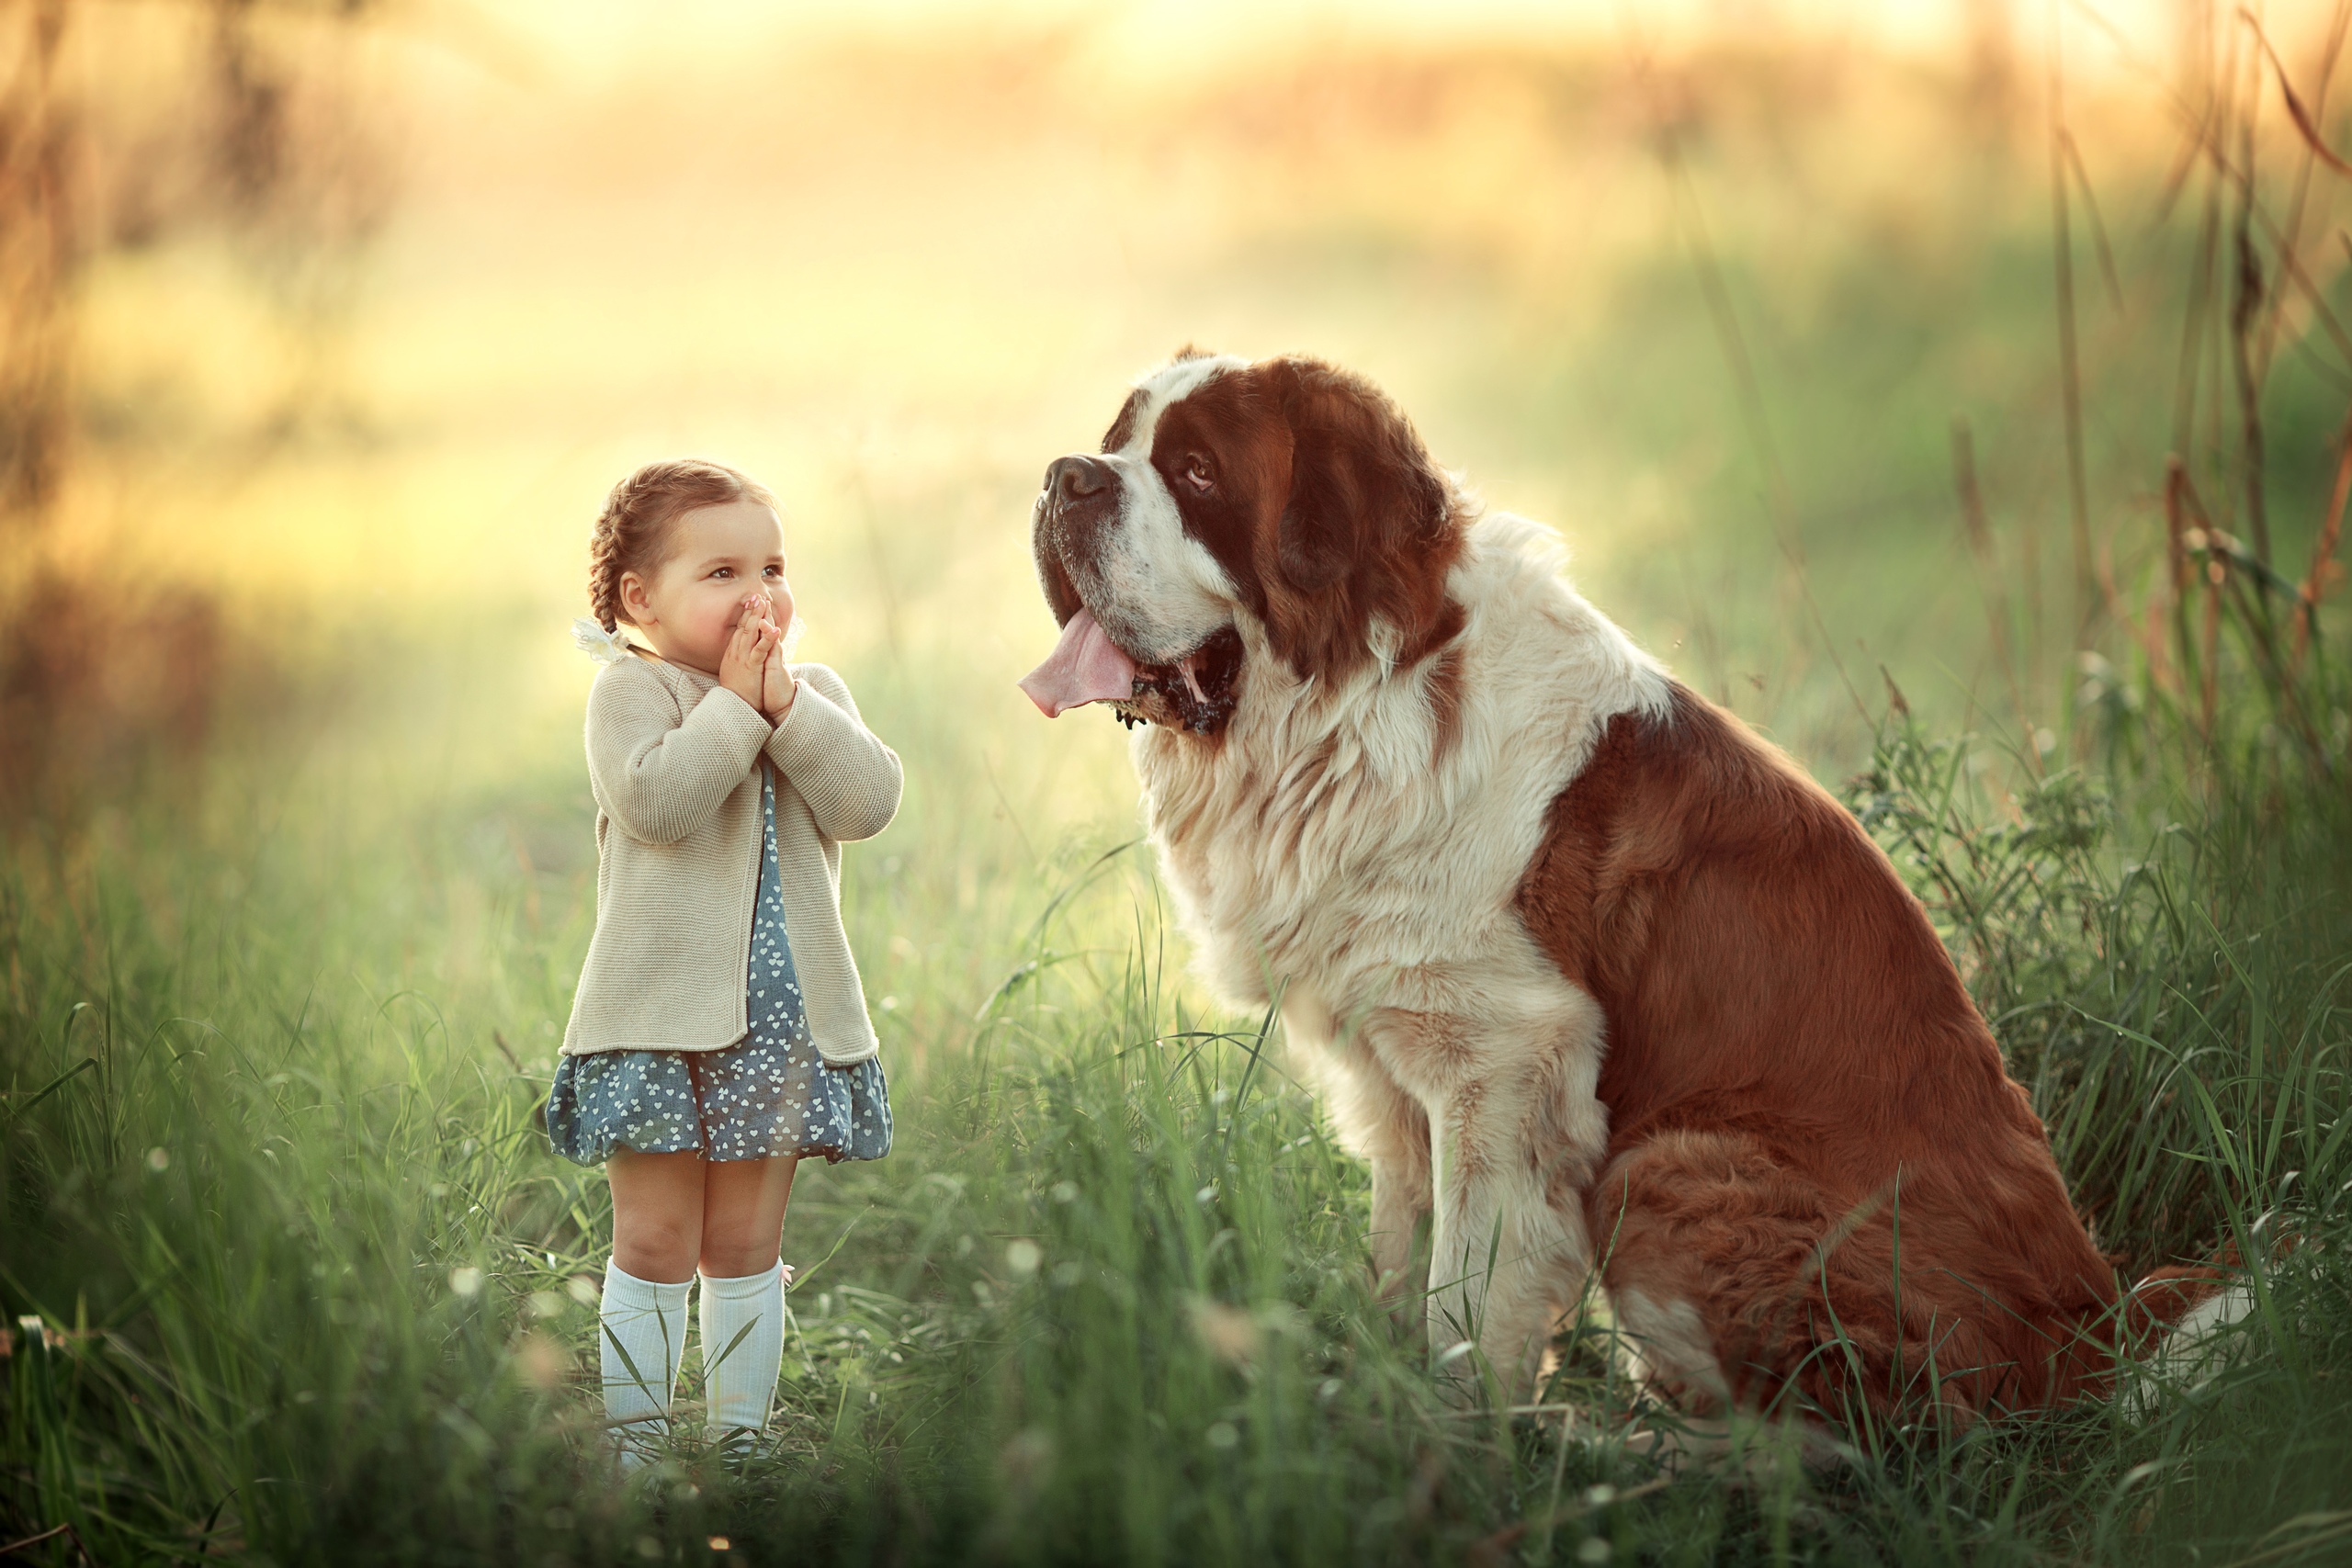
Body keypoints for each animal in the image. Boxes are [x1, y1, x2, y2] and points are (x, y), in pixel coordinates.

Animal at [1021, 352, 2211, 1419]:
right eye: (1117, 439)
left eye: (1196, 473)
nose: (1065, 475)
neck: (1360, 705)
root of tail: (2094, 1332)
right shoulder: (1399, 1079)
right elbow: (1400, 1257)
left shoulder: (1504, 1067)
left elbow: (1465, 1302)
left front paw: (1453, 1456)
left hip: (1670, 1165)